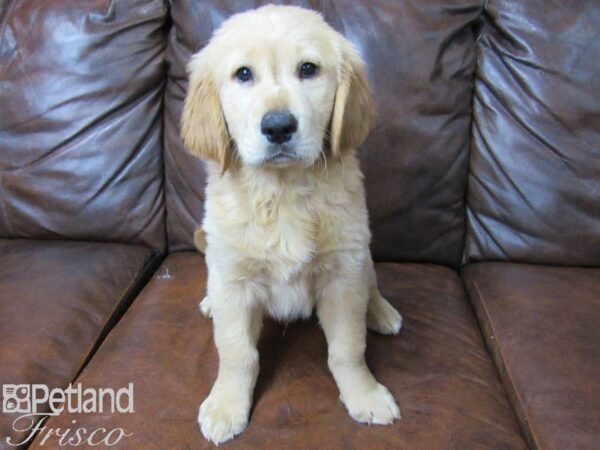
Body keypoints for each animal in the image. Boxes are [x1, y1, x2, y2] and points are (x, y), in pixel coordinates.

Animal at [180, 4, 400, 446]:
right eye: (243, 74)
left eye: (308, 69)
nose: (279, 126)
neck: (282, 193)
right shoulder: (234, 281)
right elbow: (236, 352)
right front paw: (226, 405)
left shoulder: (342, 276)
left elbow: (348, 348)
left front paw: (365, 394)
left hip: (360, 252)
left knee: (370, 281)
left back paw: (381, 311)